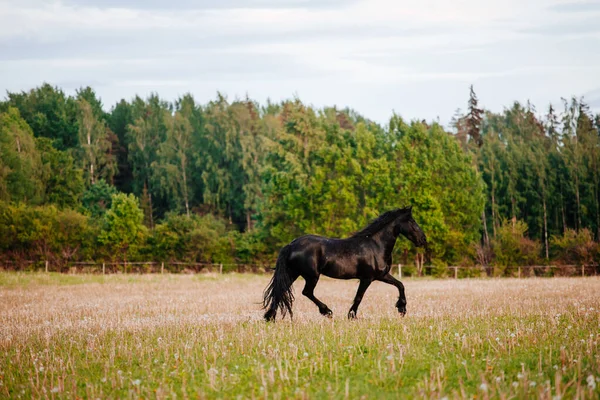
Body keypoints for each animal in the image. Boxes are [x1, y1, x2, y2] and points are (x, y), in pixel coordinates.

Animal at [262, 208, 426, 320]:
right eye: (411, 221)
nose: (423, 240)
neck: (376, 245)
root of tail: (291, 245)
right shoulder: (367, 278)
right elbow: (359, 296)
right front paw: (351, 315)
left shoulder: (382, 275)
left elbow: (400, 285)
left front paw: (402, 308)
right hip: (311, 276)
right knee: (306, 292)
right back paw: (327, 311)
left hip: (293, 273)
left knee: (281, 291)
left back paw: (270, 317)